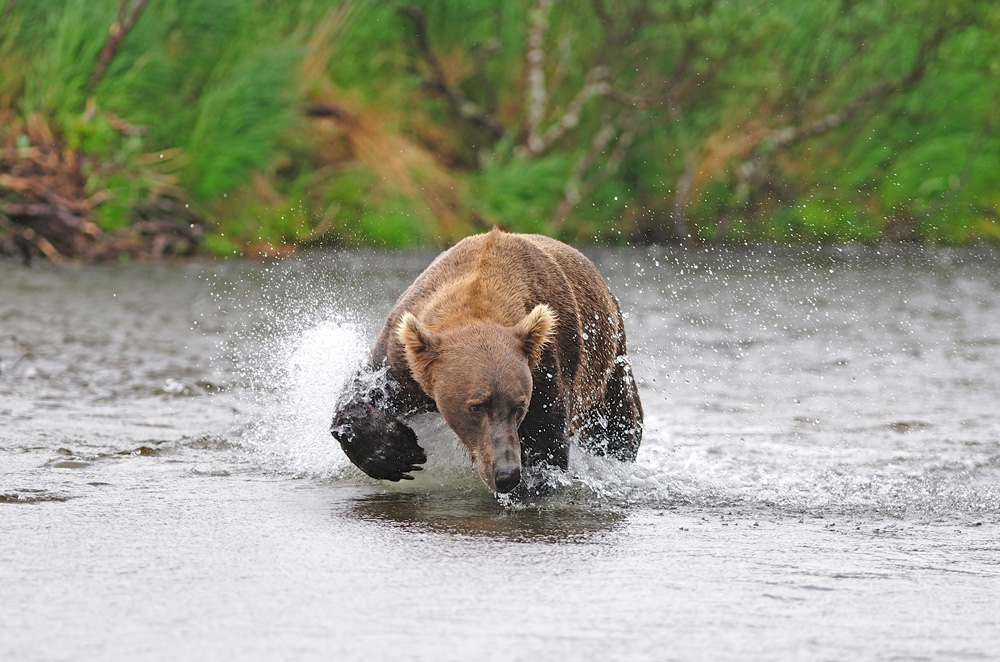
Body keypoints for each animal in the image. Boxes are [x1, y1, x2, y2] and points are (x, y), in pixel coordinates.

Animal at [332, 228, 644, 492]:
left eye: (519, 405)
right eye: (476, 406)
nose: (506, 473)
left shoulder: (546, 367)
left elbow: (546, 439)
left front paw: (532, 481)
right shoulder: (403, 358)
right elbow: (360, 393)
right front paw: (398, 453)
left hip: (609, 362)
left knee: (619, 423)